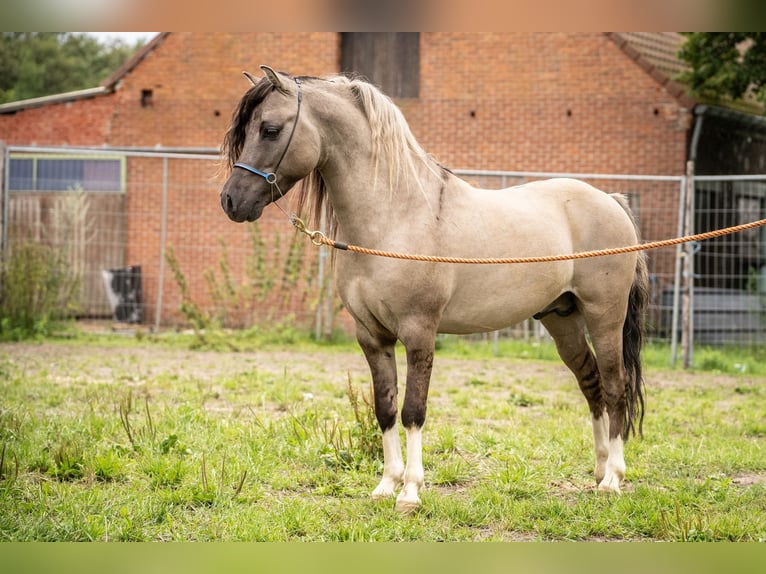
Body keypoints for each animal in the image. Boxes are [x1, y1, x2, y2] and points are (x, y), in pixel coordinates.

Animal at [220, 65, 649, 513]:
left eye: (270, 129)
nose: (231, 201)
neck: (396, 214)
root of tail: (611, 200)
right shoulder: (372, 336)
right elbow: (385, 408)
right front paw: (386, 485)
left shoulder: (419, 332)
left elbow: (413, 410)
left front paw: (410, 492)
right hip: (561, 319)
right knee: (591, 384)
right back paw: (598, 471)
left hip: (604, 317)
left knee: (615, 386)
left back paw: (613, 479)